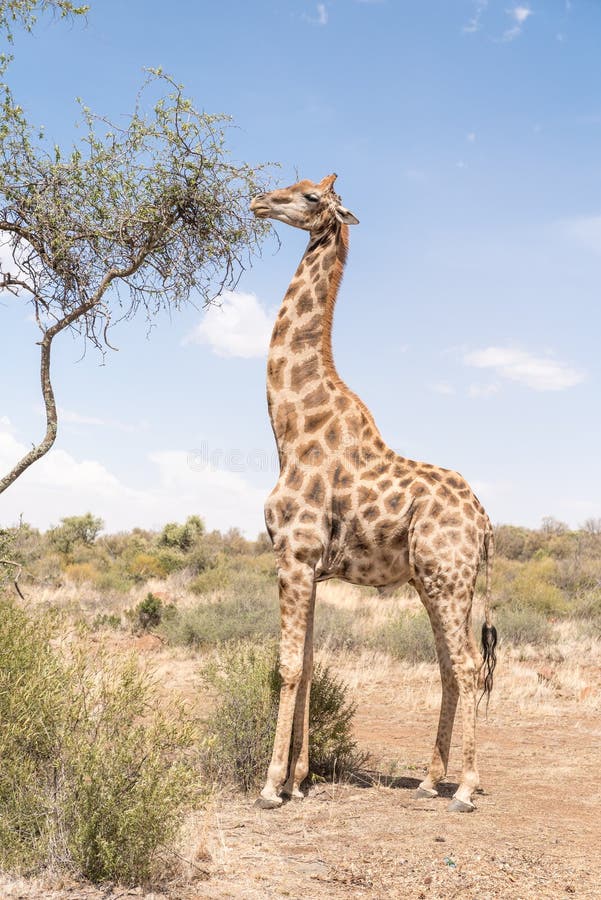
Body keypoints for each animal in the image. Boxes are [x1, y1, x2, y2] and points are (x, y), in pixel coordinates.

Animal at [248, 174, 496, 816]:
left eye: (311, 197)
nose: (258, 200)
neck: (287, 428)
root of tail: (487, 524)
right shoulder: (309, 565)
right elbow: (311, 665)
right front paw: (300, 779)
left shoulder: (293, 554)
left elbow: (288, 666)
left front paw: (270, 787)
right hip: (435, 583)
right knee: (450, 667)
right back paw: (431, 780)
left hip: (446, 578)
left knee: (466, 666)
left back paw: (465, 789)